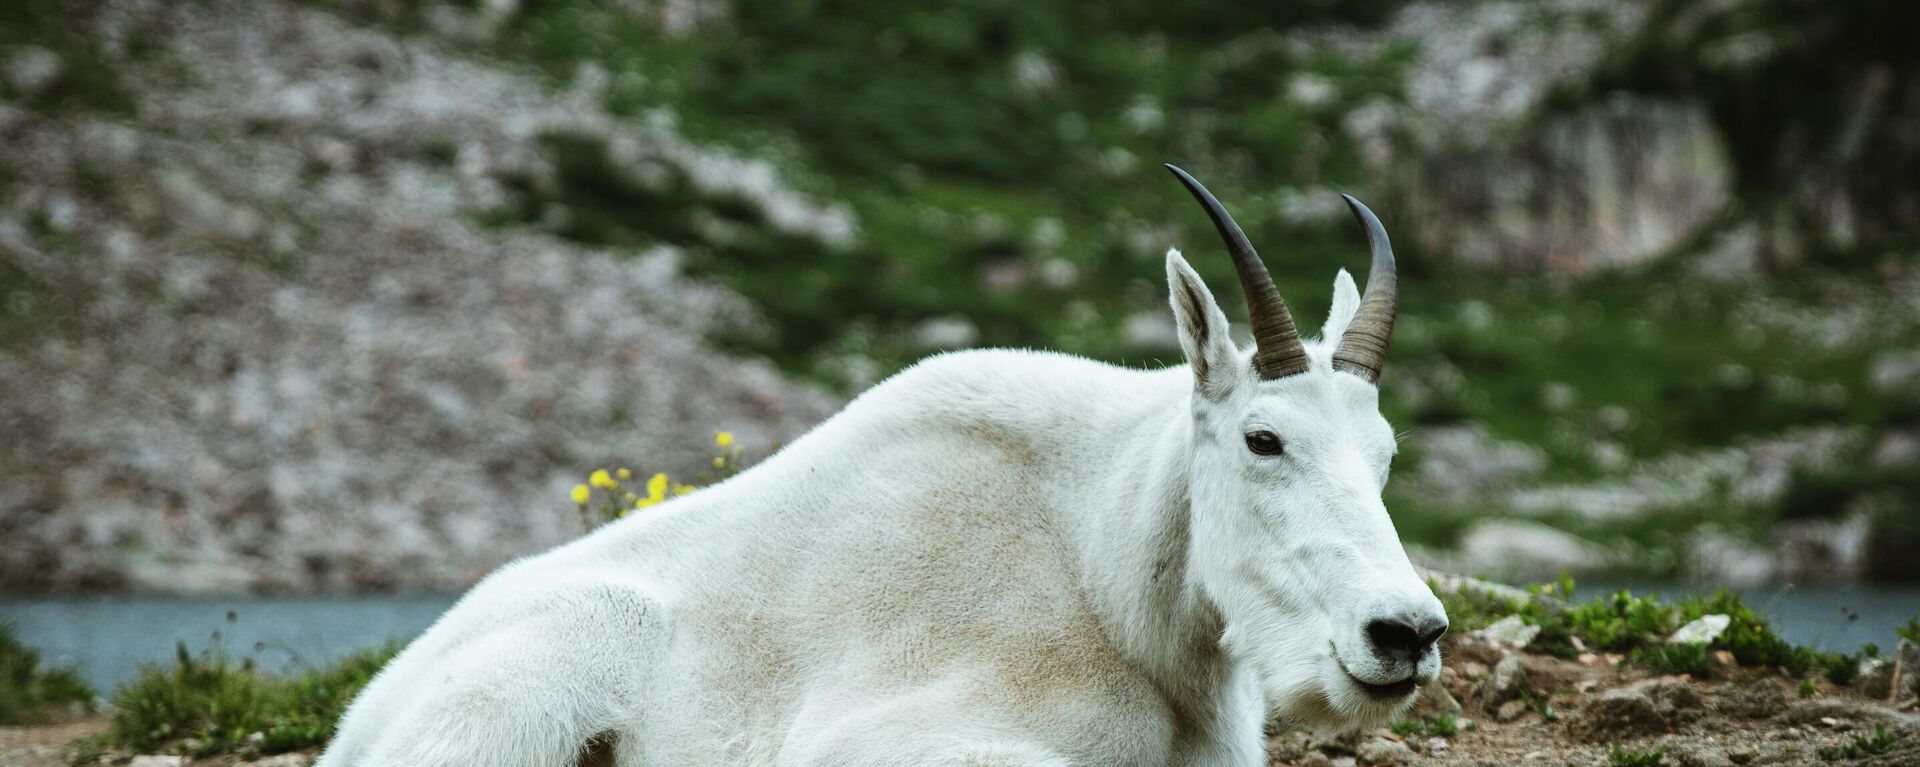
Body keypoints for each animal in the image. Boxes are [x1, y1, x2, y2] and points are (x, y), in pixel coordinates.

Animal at [322, 165, 1443, 765]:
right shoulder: (886, 735)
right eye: (1264, 438)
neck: (1108, 567)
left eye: (1386, 454)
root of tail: (363, 709)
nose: (1406, 633)